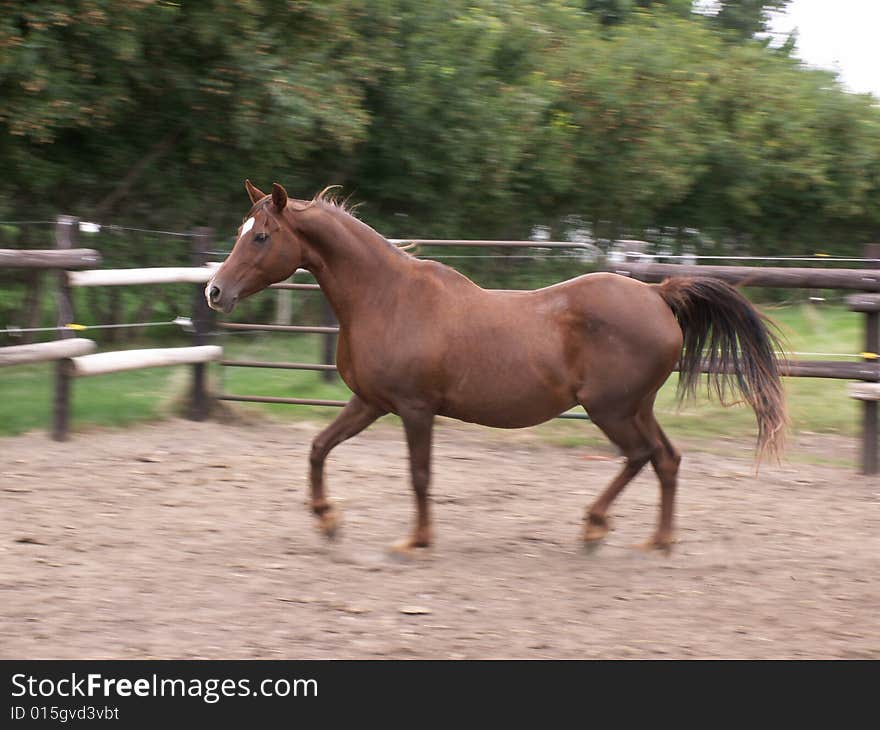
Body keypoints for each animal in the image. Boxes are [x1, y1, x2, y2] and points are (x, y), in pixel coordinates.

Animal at [208, 182, 784, 552]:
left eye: (261, 236)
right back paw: (657, 540)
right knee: (667, 458)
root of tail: (658, 294)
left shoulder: (415, 408)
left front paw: (416, 540)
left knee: (641, 456)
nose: (215, 291)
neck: (386, 298)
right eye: (241, 230)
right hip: (636, 407)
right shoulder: (370, 402)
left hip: (612, 410)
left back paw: (595, 527)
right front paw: (328, 521)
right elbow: (318, 448)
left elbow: (420, 474)